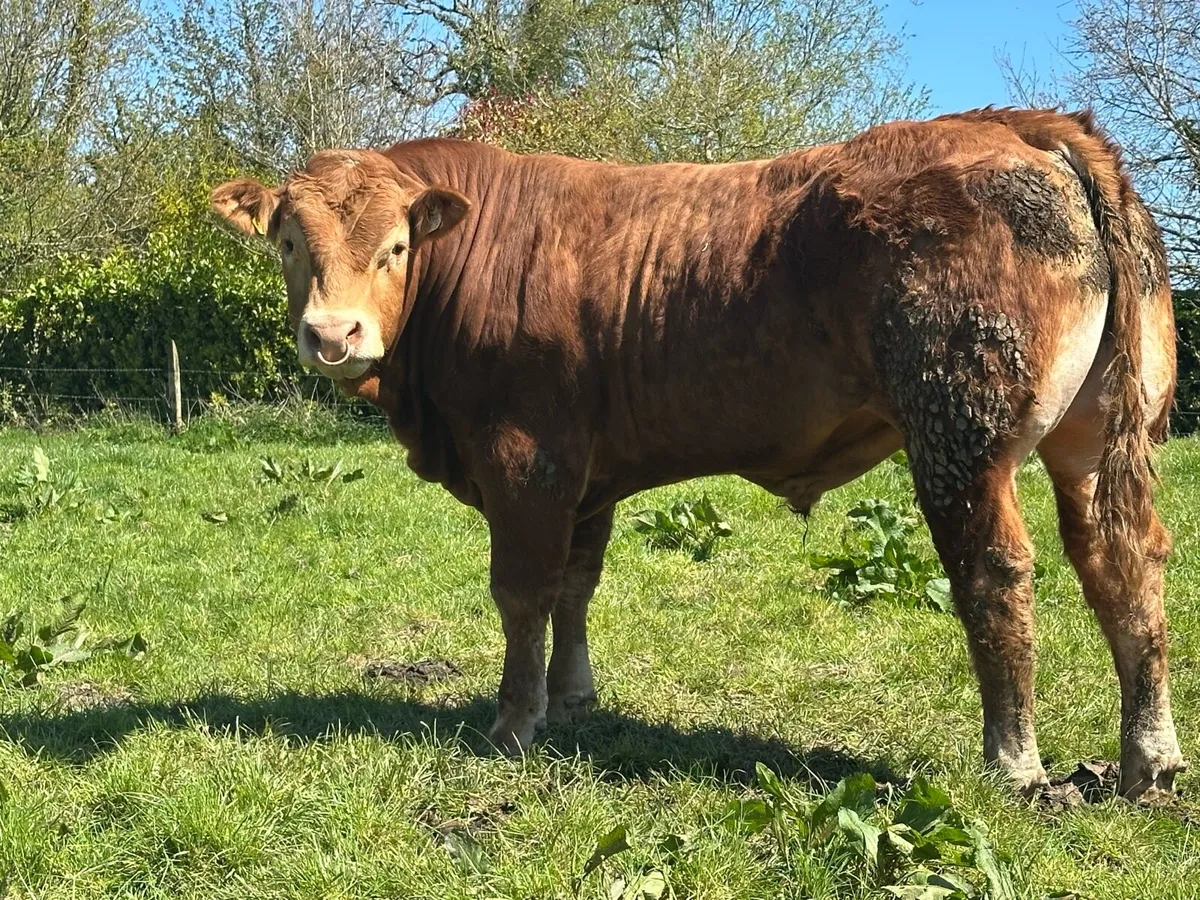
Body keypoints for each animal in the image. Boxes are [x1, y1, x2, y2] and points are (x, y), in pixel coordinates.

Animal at [211, 107, 1184, 801]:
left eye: (396, 246)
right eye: (289, 242)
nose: (332, 335)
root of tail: (1017, 123)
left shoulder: (525, 458)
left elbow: (522, 593)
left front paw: (515, 722)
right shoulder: (588, 471)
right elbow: (576, 584)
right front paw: (574, 696)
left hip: (961, 437)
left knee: (995, 574)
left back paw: (1014, 761)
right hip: (1097, 432)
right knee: (1124, 563)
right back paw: (1150, 758)